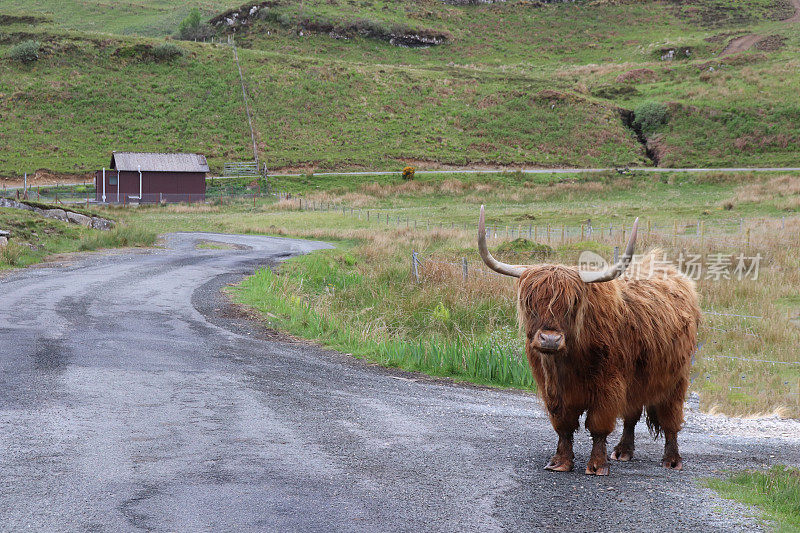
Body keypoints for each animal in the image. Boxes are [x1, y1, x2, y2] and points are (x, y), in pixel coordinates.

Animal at [476, 206, 700, 476]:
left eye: (572, 304)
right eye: (530, 301)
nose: (550, 339)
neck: (565, 363)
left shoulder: (608, 385)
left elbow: (598, 425)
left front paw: (597, 465)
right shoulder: (554, 391)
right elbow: (563, 426)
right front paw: (560, 462)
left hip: (676, 377)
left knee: (670, 419)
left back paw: (672, 459)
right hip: (638, 380)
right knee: (631, 415)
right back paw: (623, 451)